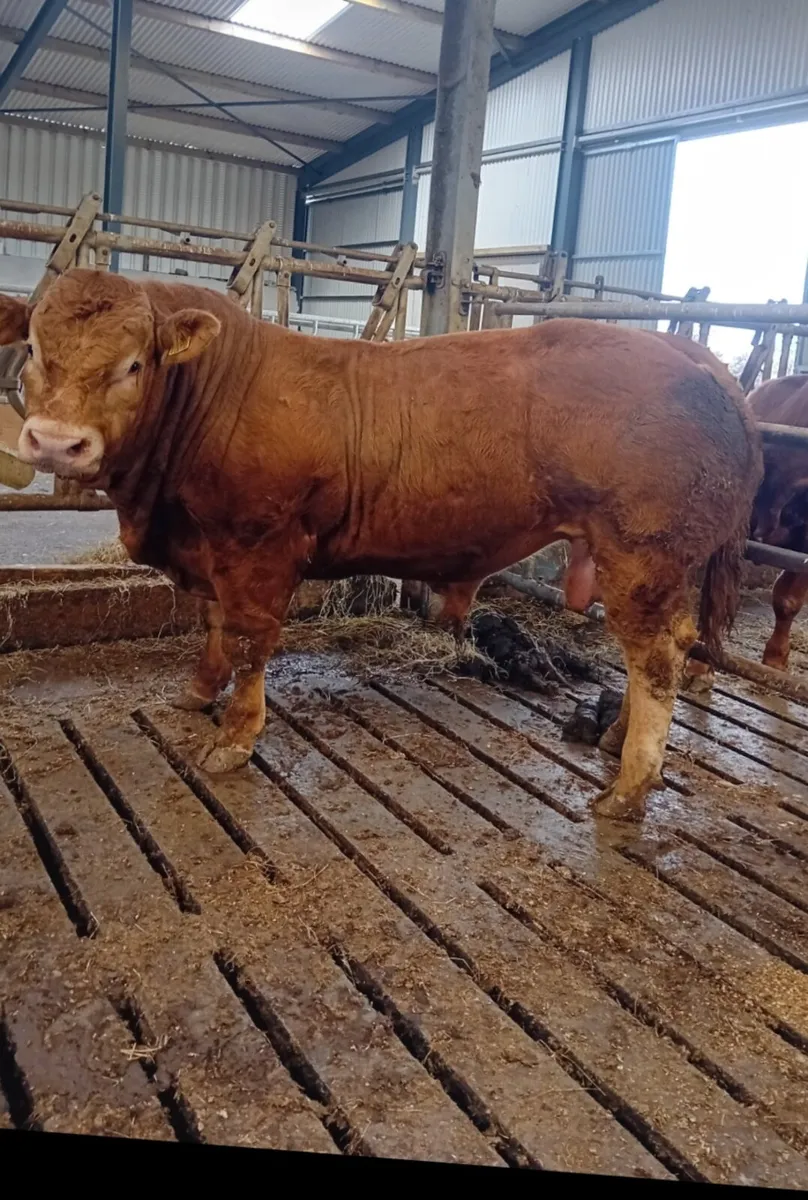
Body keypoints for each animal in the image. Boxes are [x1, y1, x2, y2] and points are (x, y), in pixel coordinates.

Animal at [2, 269, 761, 822]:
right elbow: (214, 625)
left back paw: (628, 788)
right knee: (653, 651)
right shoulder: (211, 549)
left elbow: (250, 641)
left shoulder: (259, 548)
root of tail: (694, 356)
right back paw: (612, 740)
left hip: (643, 552)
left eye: (134, 364)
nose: (56, 442)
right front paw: (196, 693)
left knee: (657, 656)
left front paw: (234, 737)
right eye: (34, 349)